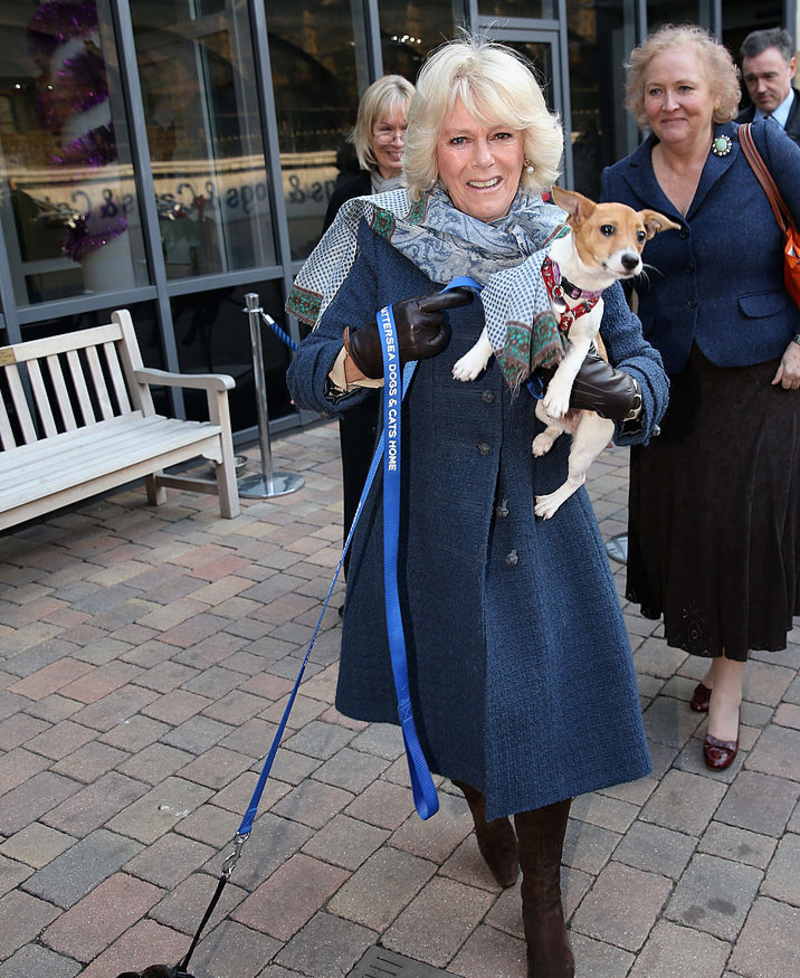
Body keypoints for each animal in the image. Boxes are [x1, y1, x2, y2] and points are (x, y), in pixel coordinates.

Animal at [454, 185, 680, 520]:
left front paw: (560, 393)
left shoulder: (584, 340)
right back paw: (544, 439)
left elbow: (571, 366)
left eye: (641, 235)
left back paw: (550, 501)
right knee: (556, 426)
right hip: (540, 411)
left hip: (586, 445)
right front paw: (471, 362)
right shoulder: (513, 307)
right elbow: (487, 336)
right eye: (607, 229)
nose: (632, 261)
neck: (572, 290)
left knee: (576, 478)